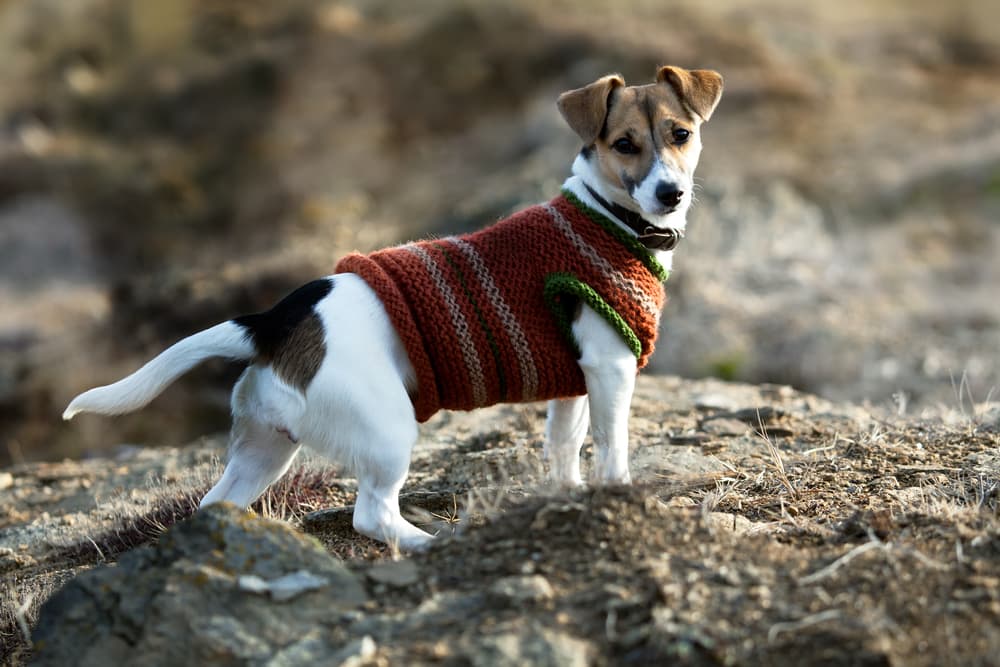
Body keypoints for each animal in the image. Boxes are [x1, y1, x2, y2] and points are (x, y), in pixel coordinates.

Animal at [62, 65, 724, 552]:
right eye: (624, 145)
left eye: (681, 135)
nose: (671, 193)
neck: (606, 218)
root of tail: (277, 318)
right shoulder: (610, 372)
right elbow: (612, 448)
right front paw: (618, 496)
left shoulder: (574, 386)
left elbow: (563, 449)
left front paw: (567, 497)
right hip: (386, 432)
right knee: (371, 513)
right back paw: (430, 541)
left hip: (264, 448)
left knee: (215, 504)